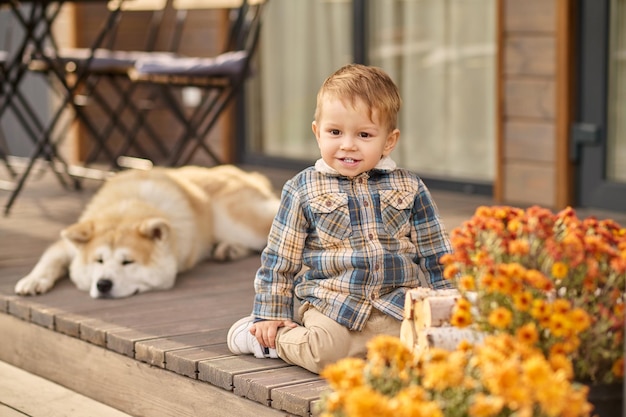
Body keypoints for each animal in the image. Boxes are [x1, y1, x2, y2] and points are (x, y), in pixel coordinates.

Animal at [14, 164, 278, 298]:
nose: (103, 284)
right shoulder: (67, 246)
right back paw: (228, 249)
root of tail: (246, 174)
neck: (126, 208)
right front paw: (33, 280)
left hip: (236, 222)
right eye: (98, 260)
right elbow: (49, 259)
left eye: (128, 262)